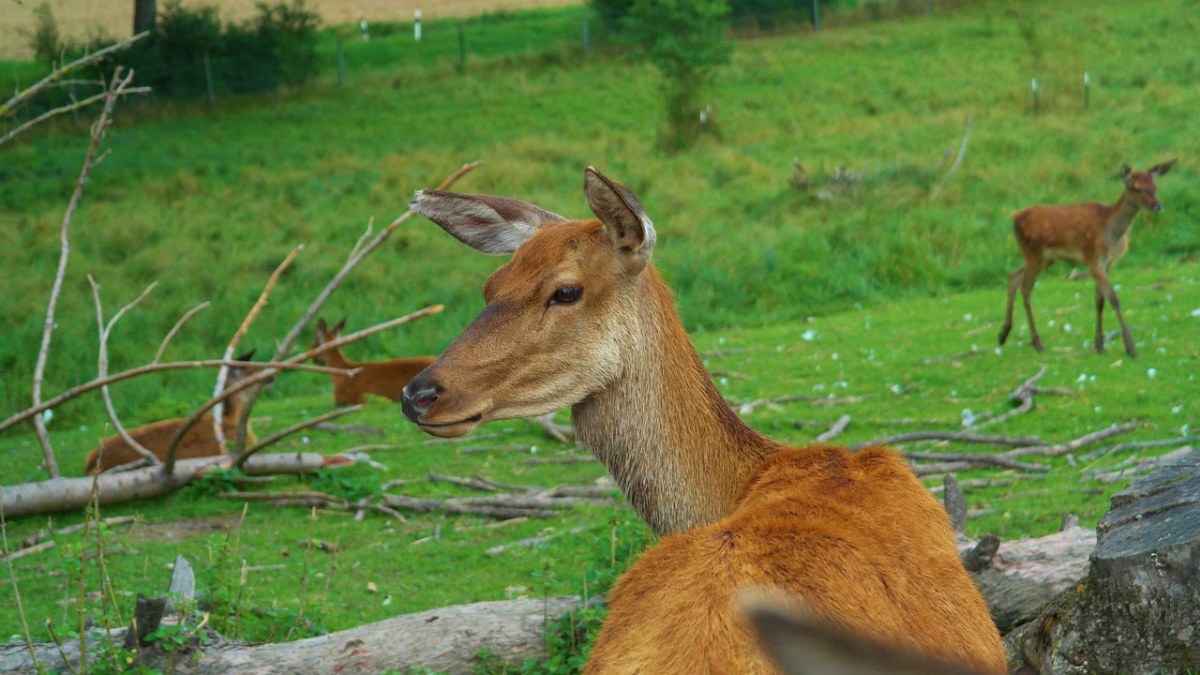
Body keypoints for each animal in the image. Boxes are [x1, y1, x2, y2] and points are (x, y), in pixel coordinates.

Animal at [998, 158, 1176, 357]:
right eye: (1136, 187)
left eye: (1155, 186)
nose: (1157, 206)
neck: (1112, 232)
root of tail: (1014, 217)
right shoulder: (1093, 259)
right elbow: (1113, 298)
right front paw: (1130, 347)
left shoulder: (1107, 263)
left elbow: (1099, 300)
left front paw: (1099, 345)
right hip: (1033, 253)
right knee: (1026, 288)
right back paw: (1037, 343)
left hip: (1044, 258)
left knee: (1013, 277)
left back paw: (1003, 334)